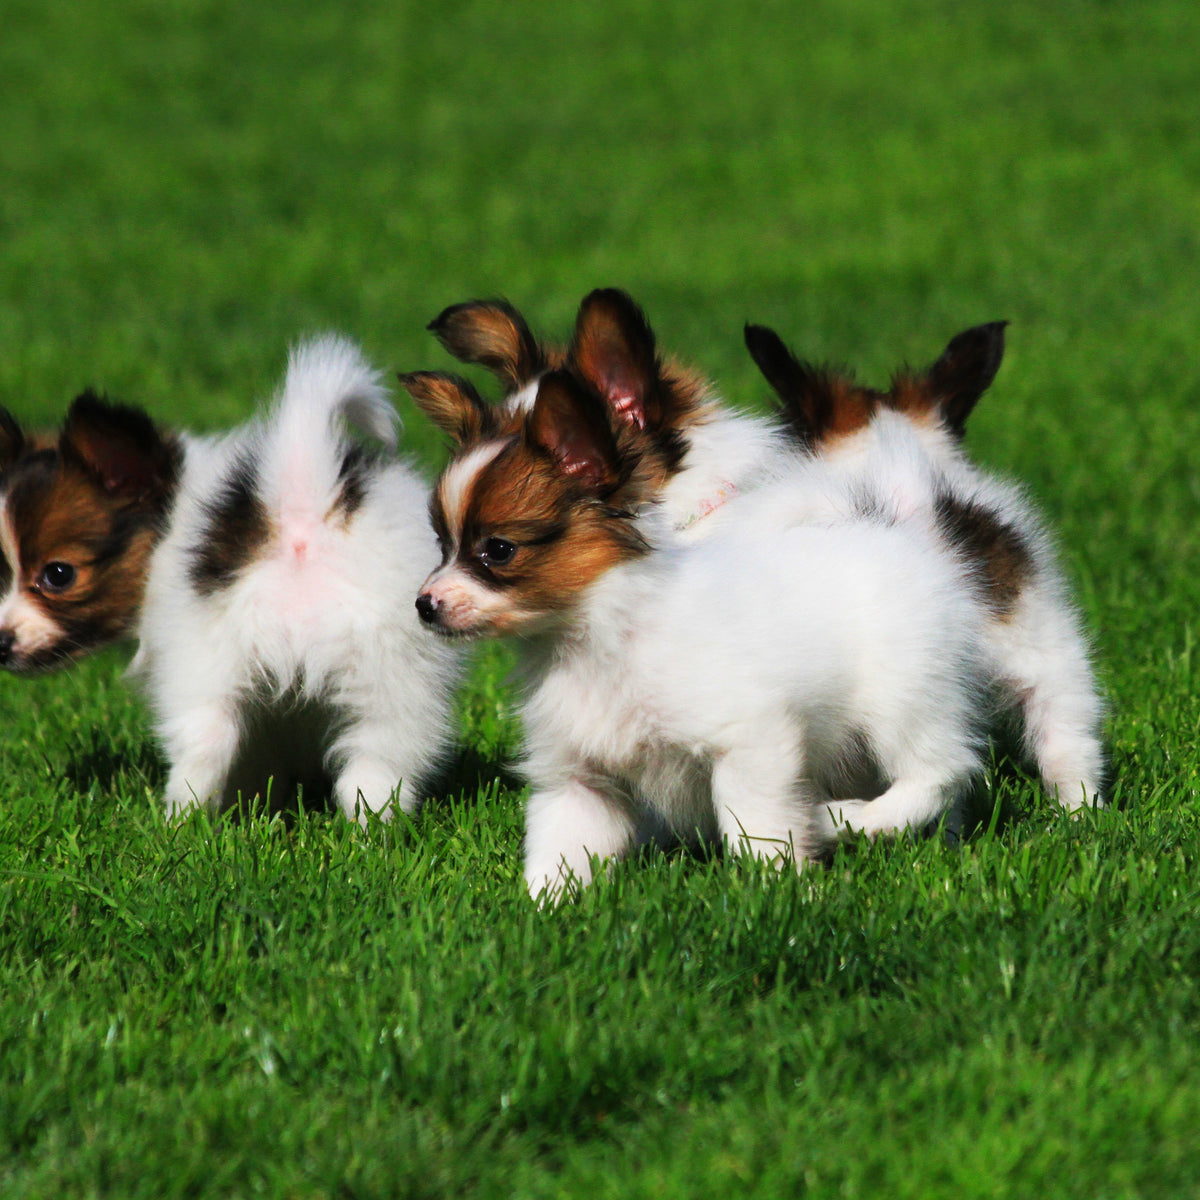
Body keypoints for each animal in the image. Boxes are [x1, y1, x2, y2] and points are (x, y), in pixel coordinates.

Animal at [403, 355, 984, 902]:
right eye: (441, 544)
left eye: (498, 550)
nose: (423, 605)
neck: (596, 641)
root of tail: (896, 535)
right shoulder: (579, 780)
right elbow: (558, 853)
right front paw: (544, 910)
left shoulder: (751, 745)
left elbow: (756, 828)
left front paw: (780, 892)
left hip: (901, 699)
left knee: (941, 772)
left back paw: (844, 818)